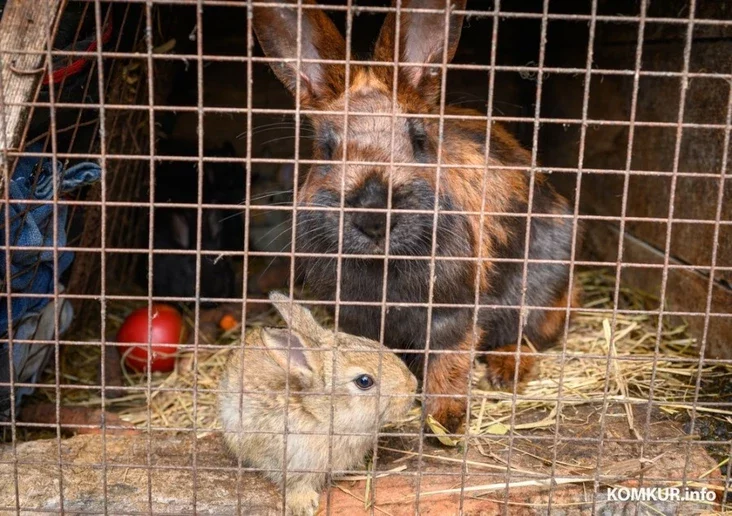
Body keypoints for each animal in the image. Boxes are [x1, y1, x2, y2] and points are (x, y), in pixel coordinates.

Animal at [252, 0, 576, 432]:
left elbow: (448, 363)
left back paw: (505, 371)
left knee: (528, 336)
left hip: (542, 288)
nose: (374, 215)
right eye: (326, 148)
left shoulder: (452, 313)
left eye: (419, 139)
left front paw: (444, 422)